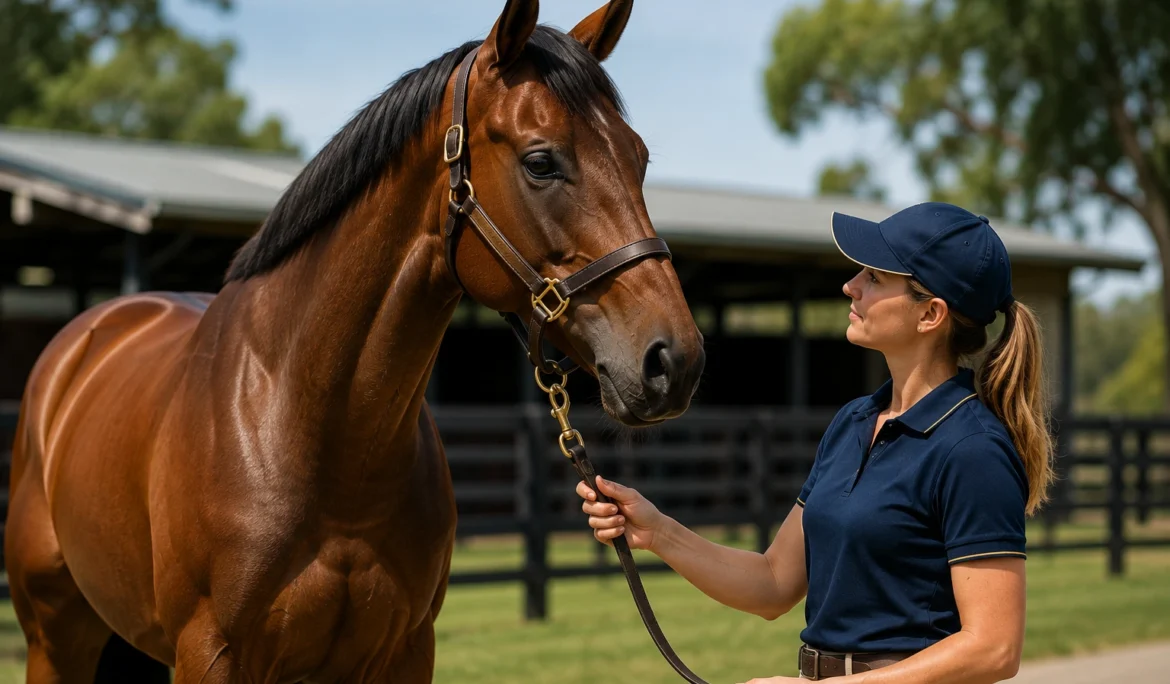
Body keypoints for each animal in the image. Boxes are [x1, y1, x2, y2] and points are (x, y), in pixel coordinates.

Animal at [4, 0, 705, 681]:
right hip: (55, 638)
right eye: (540, 161)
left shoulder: (404, 652)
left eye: (639, 157)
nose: (675, 360)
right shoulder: (209, 655)